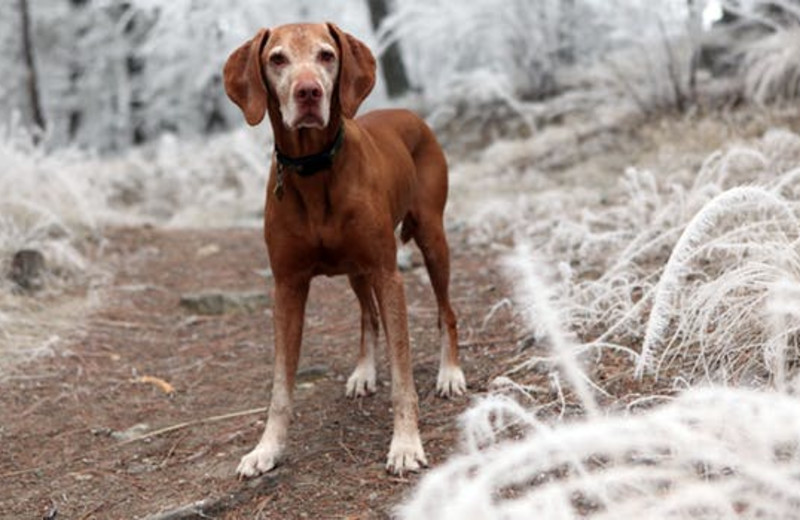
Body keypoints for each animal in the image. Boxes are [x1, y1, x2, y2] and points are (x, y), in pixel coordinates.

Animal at [222, 22, 466, 478]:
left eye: (327, 55)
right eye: (277, 58)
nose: (308, 92)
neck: (314, 168)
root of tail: (410, 113)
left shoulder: (388, 276)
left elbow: (403, 374)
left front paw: (405, 444)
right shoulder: (287, 287)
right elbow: (281, 386)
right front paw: (267, 448)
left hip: (432, 238)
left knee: (447, 312)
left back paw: (450, 374)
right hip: (356, 270)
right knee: (368, 316)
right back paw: (364, 371)